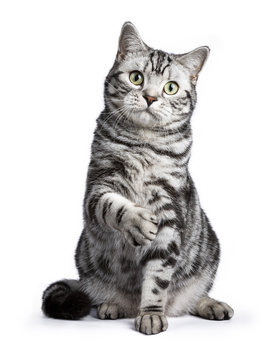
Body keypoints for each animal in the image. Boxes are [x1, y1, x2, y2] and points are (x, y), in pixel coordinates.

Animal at [42, 21, 234, 334]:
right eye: (136, 78)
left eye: (170, 88)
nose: (150, 97)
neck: (144, 145)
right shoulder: (98, 186)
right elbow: (113, 206)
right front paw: (137, 221)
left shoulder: (170, 211)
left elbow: (157, 278)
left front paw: (152, 313)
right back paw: (112, 305)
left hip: (208, 257)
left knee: (192, 299)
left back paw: (211, 305)